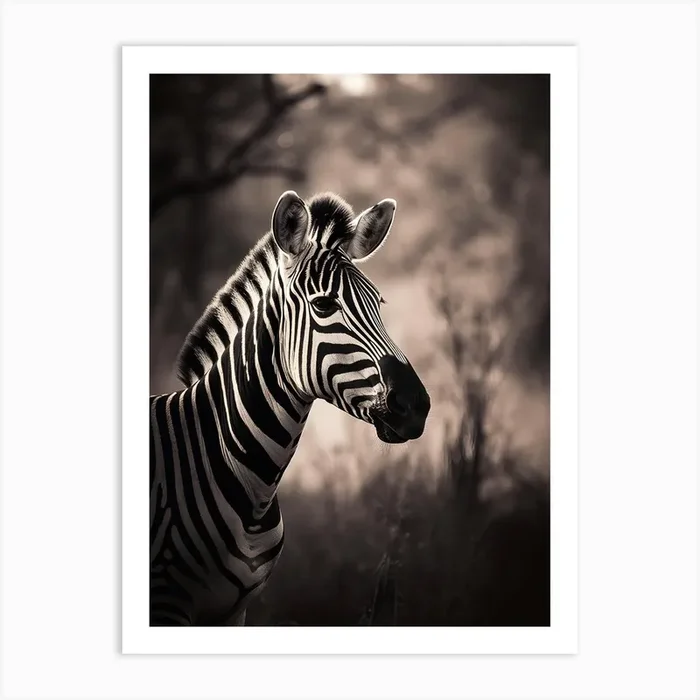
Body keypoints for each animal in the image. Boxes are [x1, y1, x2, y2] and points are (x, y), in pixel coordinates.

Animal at [150, 191, 431, 626]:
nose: (416, 405)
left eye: (379, 303)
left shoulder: (234, 611)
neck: (254, 489)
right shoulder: (168, 600)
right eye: (323, 305)